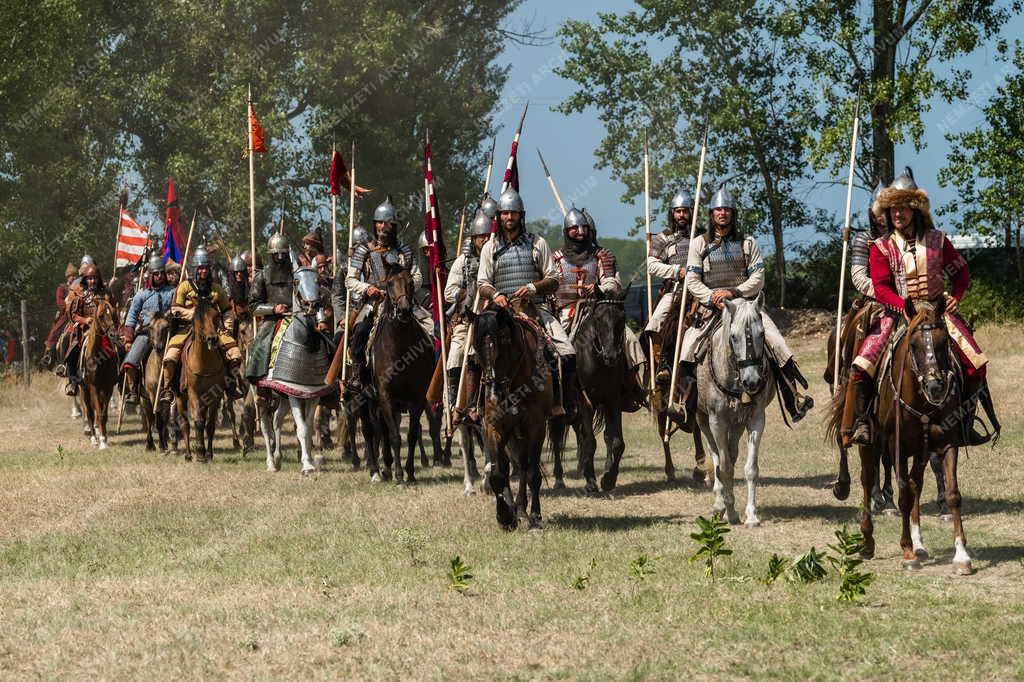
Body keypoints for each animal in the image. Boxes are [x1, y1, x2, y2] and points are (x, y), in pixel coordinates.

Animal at [80, 299, 120, 448]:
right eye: (101, 315)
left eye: (114, 314)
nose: (114, 335)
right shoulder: (94, 387)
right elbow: (96, 412)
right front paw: (101, 441)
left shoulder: (107, 387)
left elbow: (103, 414)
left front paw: (104, 438)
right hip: (84, 389)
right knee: (90, 413)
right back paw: (93, 437)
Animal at [177, 296, 227, 462]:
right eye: (198, 318)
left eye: (216, 316)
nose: (212, 339)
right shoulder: (193, 392)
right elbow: (198, 422)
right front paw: (199, 454)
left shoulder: (215, 394)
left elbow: (210, 424)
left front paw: (208, 454)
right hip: (180, 396)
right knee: (185, 423)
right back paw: (188, 454)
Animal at [696, 292, 774, 524]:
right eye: (733, 336)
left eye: (762, 333)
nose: (752, 381)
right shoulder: (716, 422)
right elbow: (725, 468)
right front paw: (729, 510)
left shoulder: (756, 419)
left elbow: (751, 468)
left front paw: (752, 515)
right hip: (702, 420)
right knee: (716, 457)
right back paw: (720, 503)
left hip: (737, 424)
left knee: (730, 453)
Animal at [872, 301, 974, 569]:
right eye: (914, 344)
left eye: (944, 341)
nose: (936, 387)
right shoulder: (895, 446)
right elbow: (904, 496)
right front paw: (907, 551)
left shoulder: (947, 444)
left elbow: (952, 493)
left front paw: (962, 555)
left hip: (922, 452)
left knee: (916, 485)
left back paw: (920, 543)